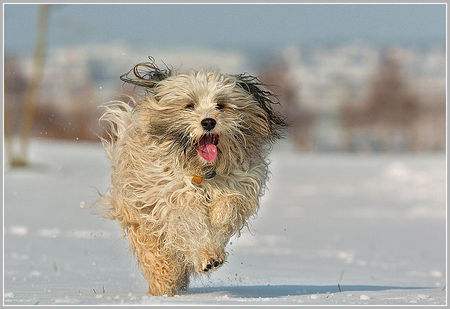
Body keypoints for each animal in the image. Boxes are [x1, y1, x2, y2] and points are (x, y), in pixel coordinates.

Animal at [100, 58, 286, 296]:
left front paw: (219, 216)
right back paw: (165, 284)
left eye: (220, 105)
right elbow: (191, 225)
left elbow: (228, 206)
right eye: (189, 105)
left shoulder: (239, 183)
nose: (208, 122)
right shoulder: (172, 199)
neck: (202, 173)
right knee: (157, 256)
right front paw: (208, 257)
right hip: (142, 222)